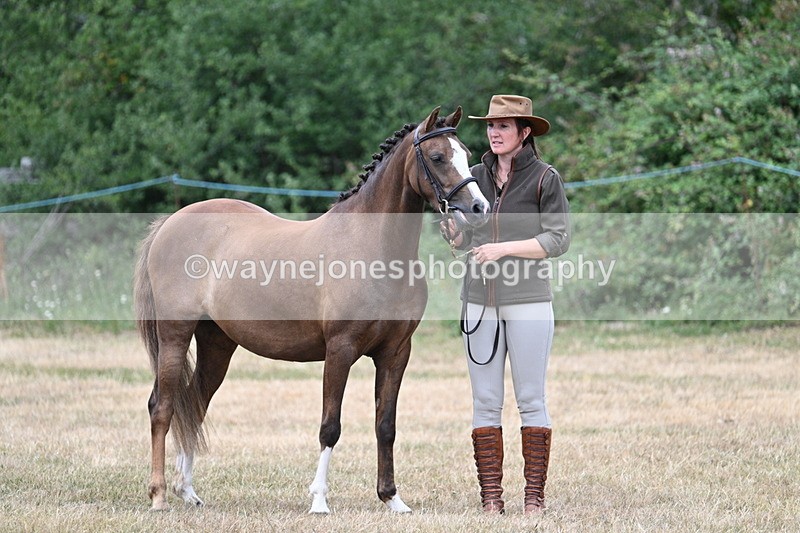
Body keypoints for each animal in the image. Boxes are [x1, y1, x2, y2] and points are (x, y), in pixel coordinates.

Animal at [133, 106, 490, 513]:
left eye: (466, 153)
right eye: (438, 157)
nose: (479, 208)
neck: (374, 248)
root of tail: (170, 222)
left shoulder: (396, 353)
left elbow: (386, 426)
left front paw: (392, 498)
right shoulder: (340, 350)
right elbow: (330, 426)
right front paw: (319, 499)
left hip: (217, 345)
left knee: (194, 403)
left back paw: (188, 490)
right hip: (175, 335)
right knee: (162, 407)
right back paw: (159, 495)